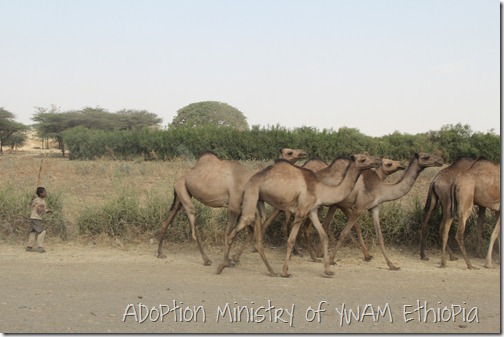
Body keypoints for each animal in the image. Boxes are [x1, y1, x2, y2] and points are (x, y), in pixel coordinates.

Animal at [157, 148, 308, 264]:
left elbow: (247, 232)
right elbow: (229, 233)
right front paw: (227, 260)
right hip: (183, 191)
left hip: (180, 195)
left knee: (166, 221)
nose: (303, 153)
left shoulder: (242, 209)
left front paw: (233, 258)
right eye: (289, 152)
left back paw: (160, 253)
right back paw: (206, 259)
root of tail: (179, 179)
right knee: (193, 225)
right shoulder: (234, 207)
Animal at [217, 153, 382, 276]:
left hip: (259, 201)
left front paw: (328, 270)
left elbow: (323, 235)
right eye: (363, 159)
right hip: (252, 192)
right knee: (242, 224)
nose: (378, 160)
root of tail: (250, 179)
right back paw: (223, 265)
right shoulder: (301, 212)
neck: (322, 189)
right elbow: (291, 240)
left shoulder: (312, 210)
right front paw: (285, 271)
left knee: (254, 229)